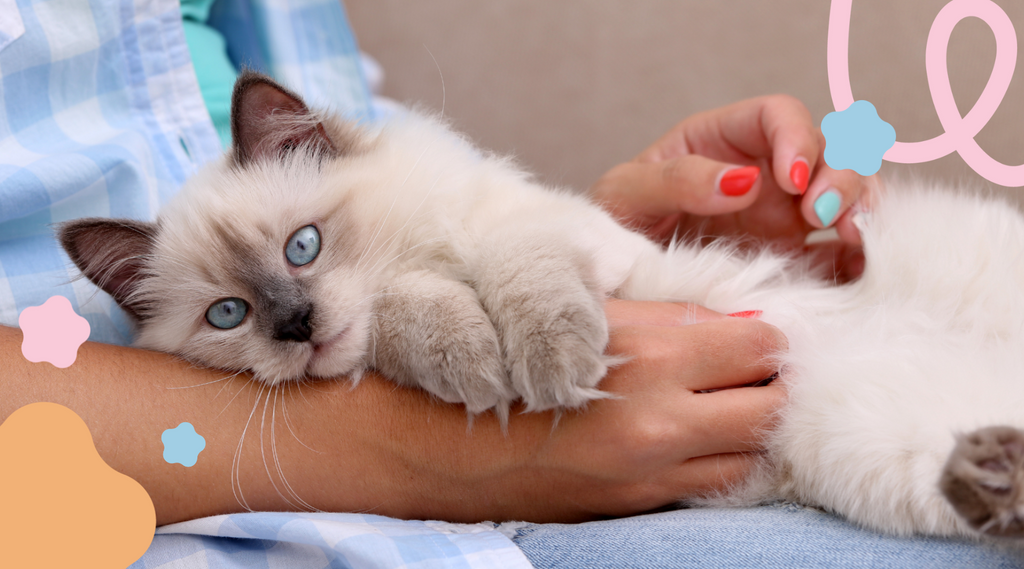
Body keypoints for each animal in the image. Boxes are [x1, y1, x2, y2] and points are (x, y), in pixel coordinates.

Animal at [59, 73, 1024, 540]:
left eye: (304, 246)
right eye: (229, 316)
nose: (296, 325)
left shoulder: (586, 251)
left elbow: (513, 271)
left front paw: (548, 364)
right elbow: (410, 309)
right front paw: (472, 360)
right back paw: (992, 469)